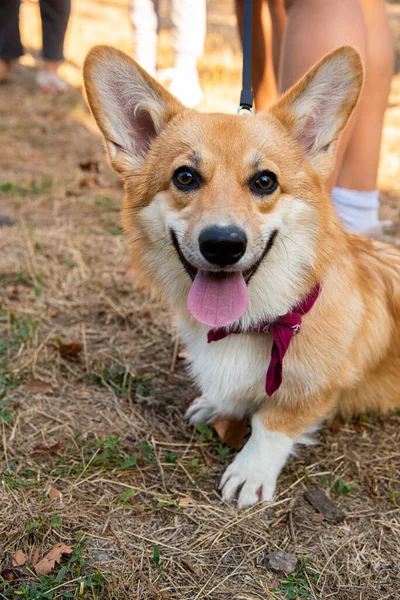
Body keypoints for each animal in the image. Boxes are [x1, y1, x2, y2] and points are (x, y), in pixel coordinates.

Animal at [83, 44, 400, 508]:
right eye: (184, 176)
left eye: (265, 181)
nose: (222, 244)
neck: (252, 323)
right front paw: (218, 405)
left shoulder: (314, 390)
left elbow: (274, 424)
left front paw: (251, 471)